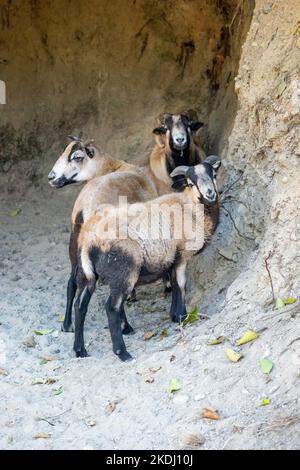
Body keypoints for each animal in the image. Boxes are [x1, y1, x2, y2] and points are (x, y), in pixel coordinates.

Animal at [73, 155, 220, 360]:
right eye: (191, 182)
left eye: (213, 174)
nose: (210, 194)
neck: (189, 206)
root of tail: (88, 239)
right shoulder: (182, 254)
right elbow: (181, 284)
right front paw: (182, 316)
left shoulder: (171, 257)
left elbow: (174, 284)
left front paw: (175, 315)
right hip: (123, 272)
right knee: (111, 307)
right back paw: (122, 352)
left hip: (86, 274)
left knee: (79, 306)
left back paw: (80, 350)